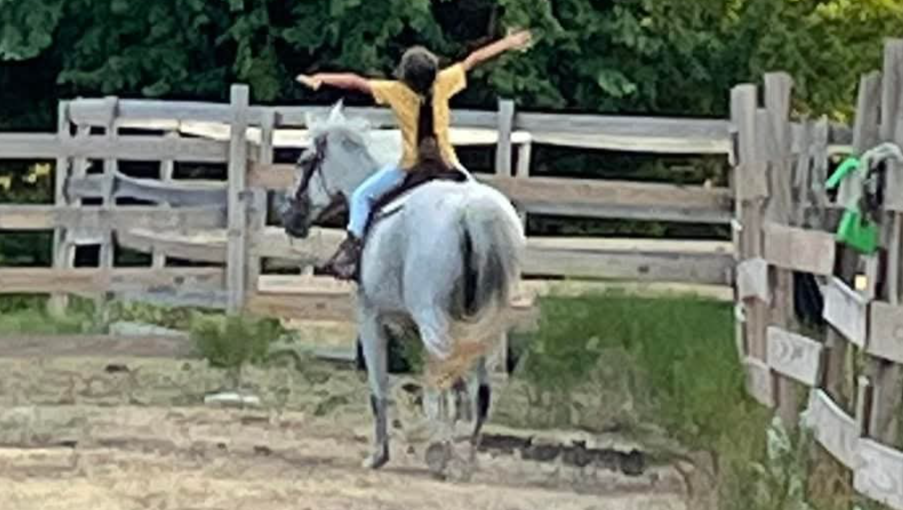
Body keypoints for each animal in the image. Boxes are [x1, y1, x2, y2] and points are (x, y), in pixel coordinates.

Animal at [280, 102, 526, 476]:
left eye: (303, 161)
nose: (288, 215)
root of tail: (472, 212)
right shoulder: (411, 325)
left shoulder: (370, 316)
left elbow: (379, 386)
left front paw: (379, 454)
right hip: (487, 323)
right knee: (478, 389)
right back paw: (465, 457)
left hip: (435, 321)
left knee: (446, 378)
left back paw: (440, 452)